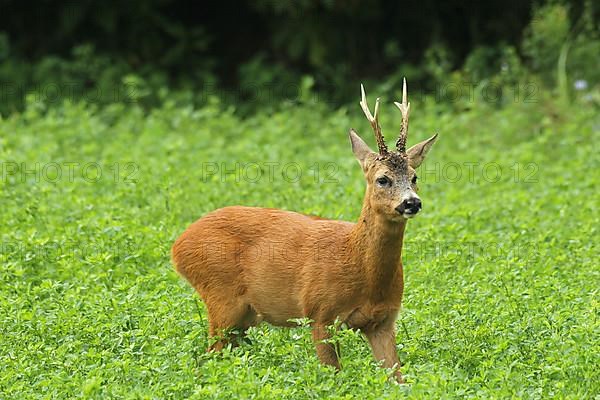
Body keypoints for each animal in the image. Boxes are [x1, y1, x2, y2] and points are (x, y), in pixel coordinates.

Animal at [171, 78, 438, 382]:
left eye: (414, 177)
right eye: (383, 179)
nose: (411, 202)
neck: (362, 271)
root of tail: (177, 245)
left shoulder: (383, 321)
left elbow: (397, 378)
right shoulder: (319, 313)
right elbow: (333, 375)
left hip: (244, 316)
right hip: (221, 297)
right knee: (207, 356)